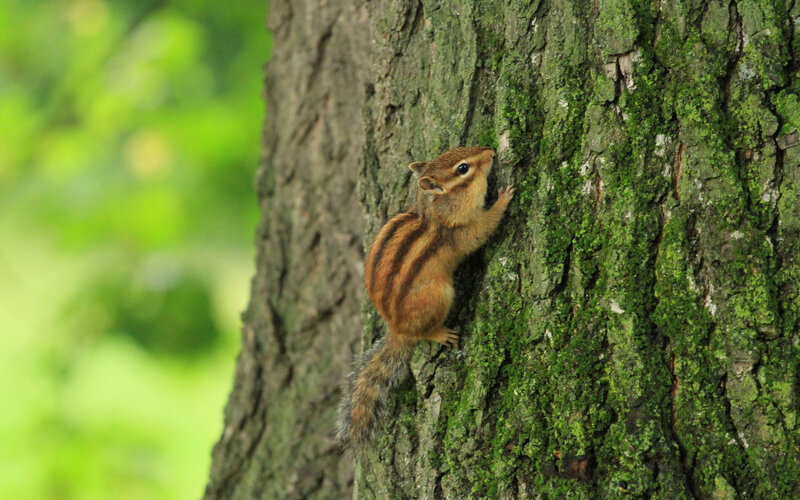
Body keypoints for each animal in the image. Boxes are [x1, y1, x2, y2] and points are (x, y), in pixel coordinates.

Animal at [336, 146, 515, 449]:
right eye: (463, 168)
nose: (490, 152)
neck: (432, 212)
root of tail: (398, 330)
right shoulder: (461, 231)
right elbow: (482, 230)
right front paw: (503, 198)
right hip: (439, 295)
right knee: (425, 332)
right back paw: (441, 334)